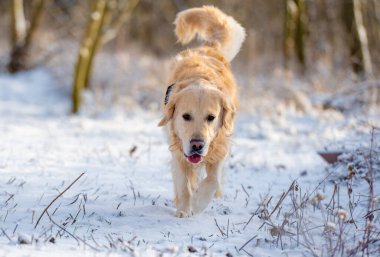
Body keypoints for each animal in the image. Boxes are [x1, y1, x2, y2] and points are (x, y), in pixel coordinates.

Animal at [158, 5, 245, 216]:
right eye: (186, 116)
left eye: (211, 117)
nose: (197, 144)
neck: (199, 78)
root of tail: (210, 46)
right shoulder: (178, 151)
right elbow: (183, 184)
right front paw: (184, 209)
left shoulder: (220, 148)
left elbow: (212, 180)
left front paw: (198, 202)